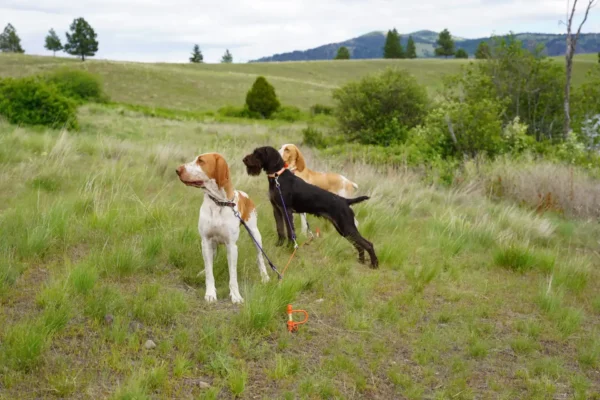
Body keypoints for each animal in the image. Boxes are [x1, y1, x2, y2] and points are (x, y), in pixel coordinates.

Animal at [176, 153, 270, 304]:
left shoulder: (231, 246)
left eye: (201, 161)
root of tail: (244, 194)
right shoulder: (206, 241)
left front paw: (236, 295)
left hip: (255, 235)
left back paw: (265, 276)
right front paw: (210, 293)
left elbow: (233, 276)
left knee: (260, 257)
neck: (218, 202)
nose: (177, 170)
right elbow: (210, 272)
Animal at [241, 145, 378, 268]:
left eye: (257, 153)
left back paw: (374, 264)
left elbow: (290, 232)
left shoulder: (286, 210)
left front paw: (289, 247)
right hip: (343, 229)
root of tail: (345, 201)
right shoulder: (277, 210)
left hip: (347, 227)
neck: (277, 177)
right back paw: (361, 261)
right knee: (359, 245)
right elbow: (280, 230)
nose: (244, 159)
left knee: (368, 244)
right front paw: (279, 245)